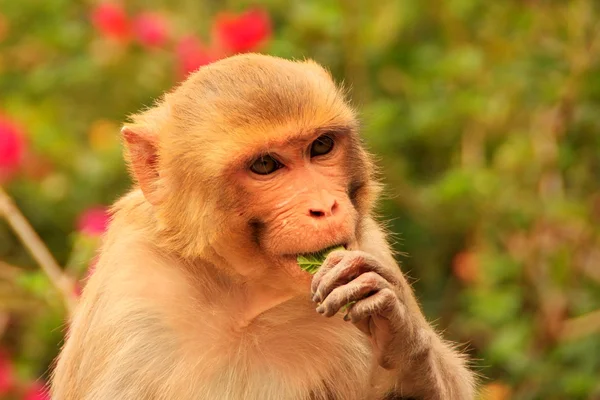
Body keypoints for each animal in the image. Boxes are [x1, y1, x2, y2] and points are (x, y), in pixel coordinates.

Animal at [50, 54, 474, 400]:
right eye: (266, 165)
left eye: (321, 146)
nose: (325, 206)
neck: (243, 298)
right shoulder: (131, 289)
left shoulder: (368, 244)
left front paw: (395, 325)